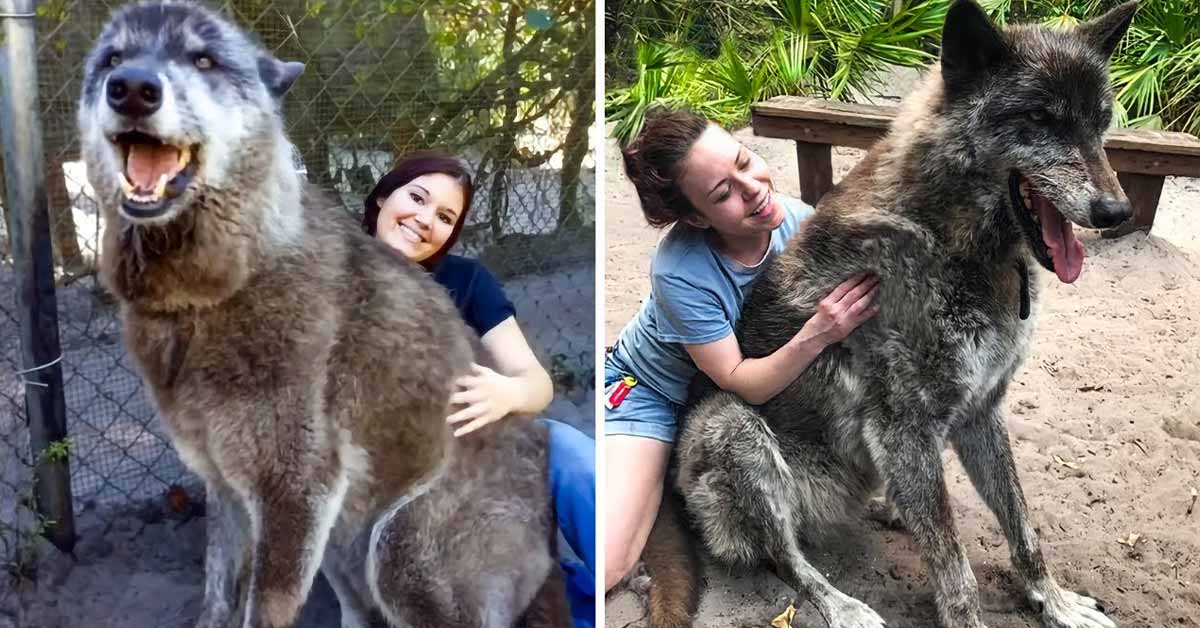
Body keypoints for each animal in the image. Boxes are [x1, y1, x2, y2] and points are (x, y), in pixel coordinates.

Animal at [78, 2, 571, 624]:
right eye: (112, 59)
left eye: (204, 59)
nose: (133, 88)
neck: (207, 295)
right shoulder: (228, 489)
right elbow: (217, 597)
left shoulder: (294, 490)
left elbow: (260, 611)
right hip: (343, 542)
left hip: (397, 553)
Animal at [638, 1, 1132, 628]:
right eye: (1041, 118)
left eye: (1100, 120)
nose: (1118, 211)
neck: (954, 240)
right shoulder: (905, 428)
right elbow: (956, 572)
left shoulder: (980, 411)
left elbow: (1023, 527)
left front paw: (1056, 603)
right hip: (731, 426)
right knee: (786, 559)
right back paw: (844, 604)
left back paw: (890, 510)